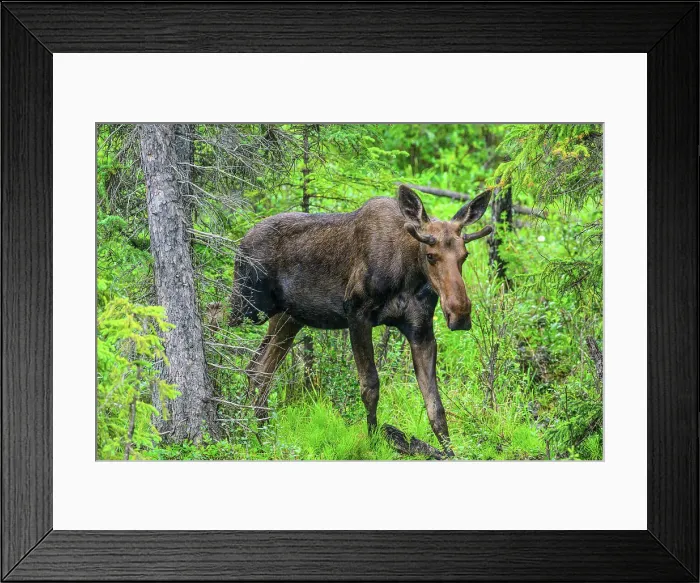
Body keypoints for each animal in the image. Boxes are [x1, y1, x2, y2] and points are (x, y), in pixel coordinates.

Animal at [229, 184, 493, 457]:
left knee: (259, 369)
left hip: (287, 318)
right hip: (247, 305)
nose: (460, 314)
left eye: (465, 255)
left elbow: (435, 404)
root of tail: (240, 243)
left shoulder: (421, 331)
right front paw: (373, 441)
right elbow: (370, 386)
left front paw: (450, 453)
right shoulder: (356, 314)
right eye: (431, 256)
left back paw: (259, 434)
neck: (408, 276)